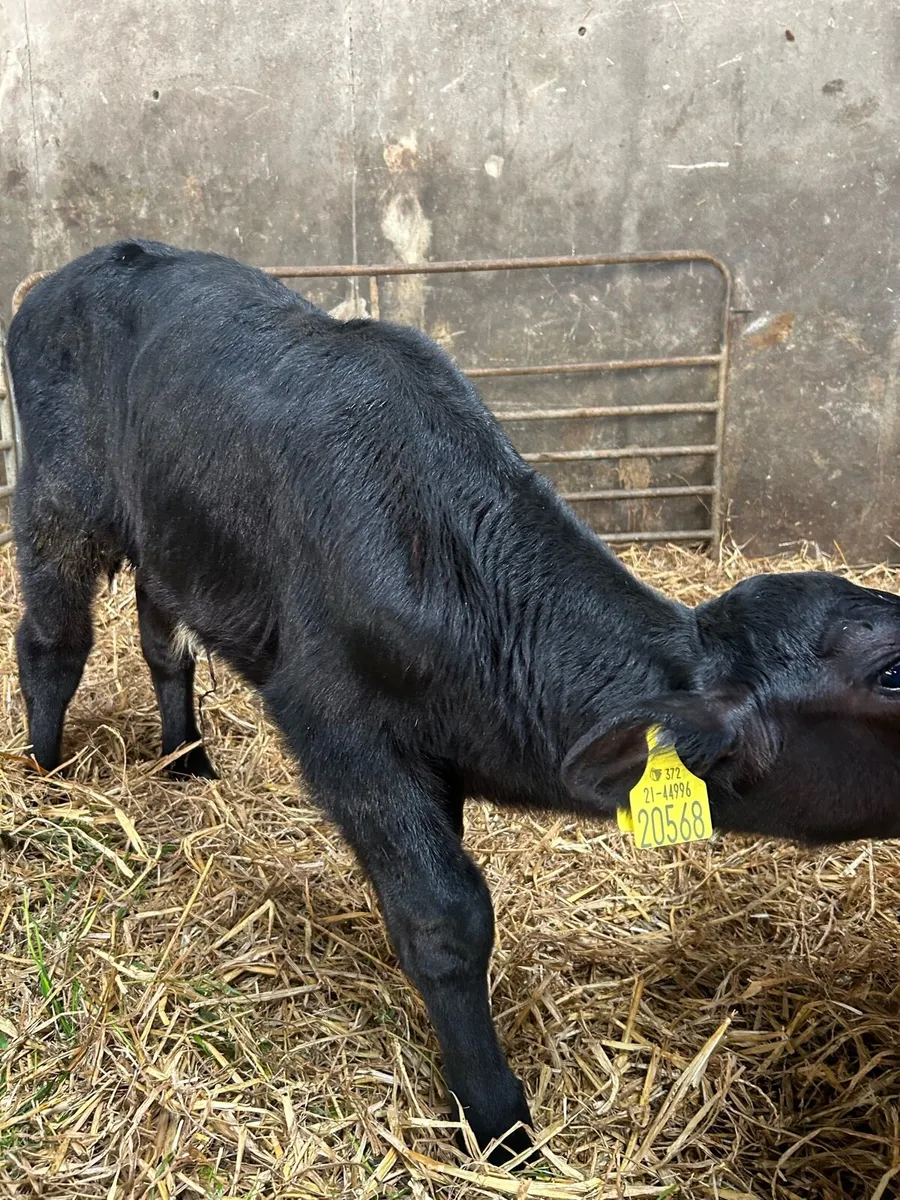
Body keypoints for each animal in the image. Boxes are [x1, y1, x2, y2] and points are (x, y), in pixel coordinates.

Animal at [8, 240, 900, 1164]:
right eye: (892, 674)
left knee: (162, 635)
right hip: (58, 502)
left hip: (171, 533)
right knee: (52, 640)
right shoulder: (342, 733)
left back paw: (185, 760)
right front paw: (498, 1119)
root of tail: (79, 268)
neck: (444, 560)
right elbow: (446, 918)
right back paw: (46, 773)